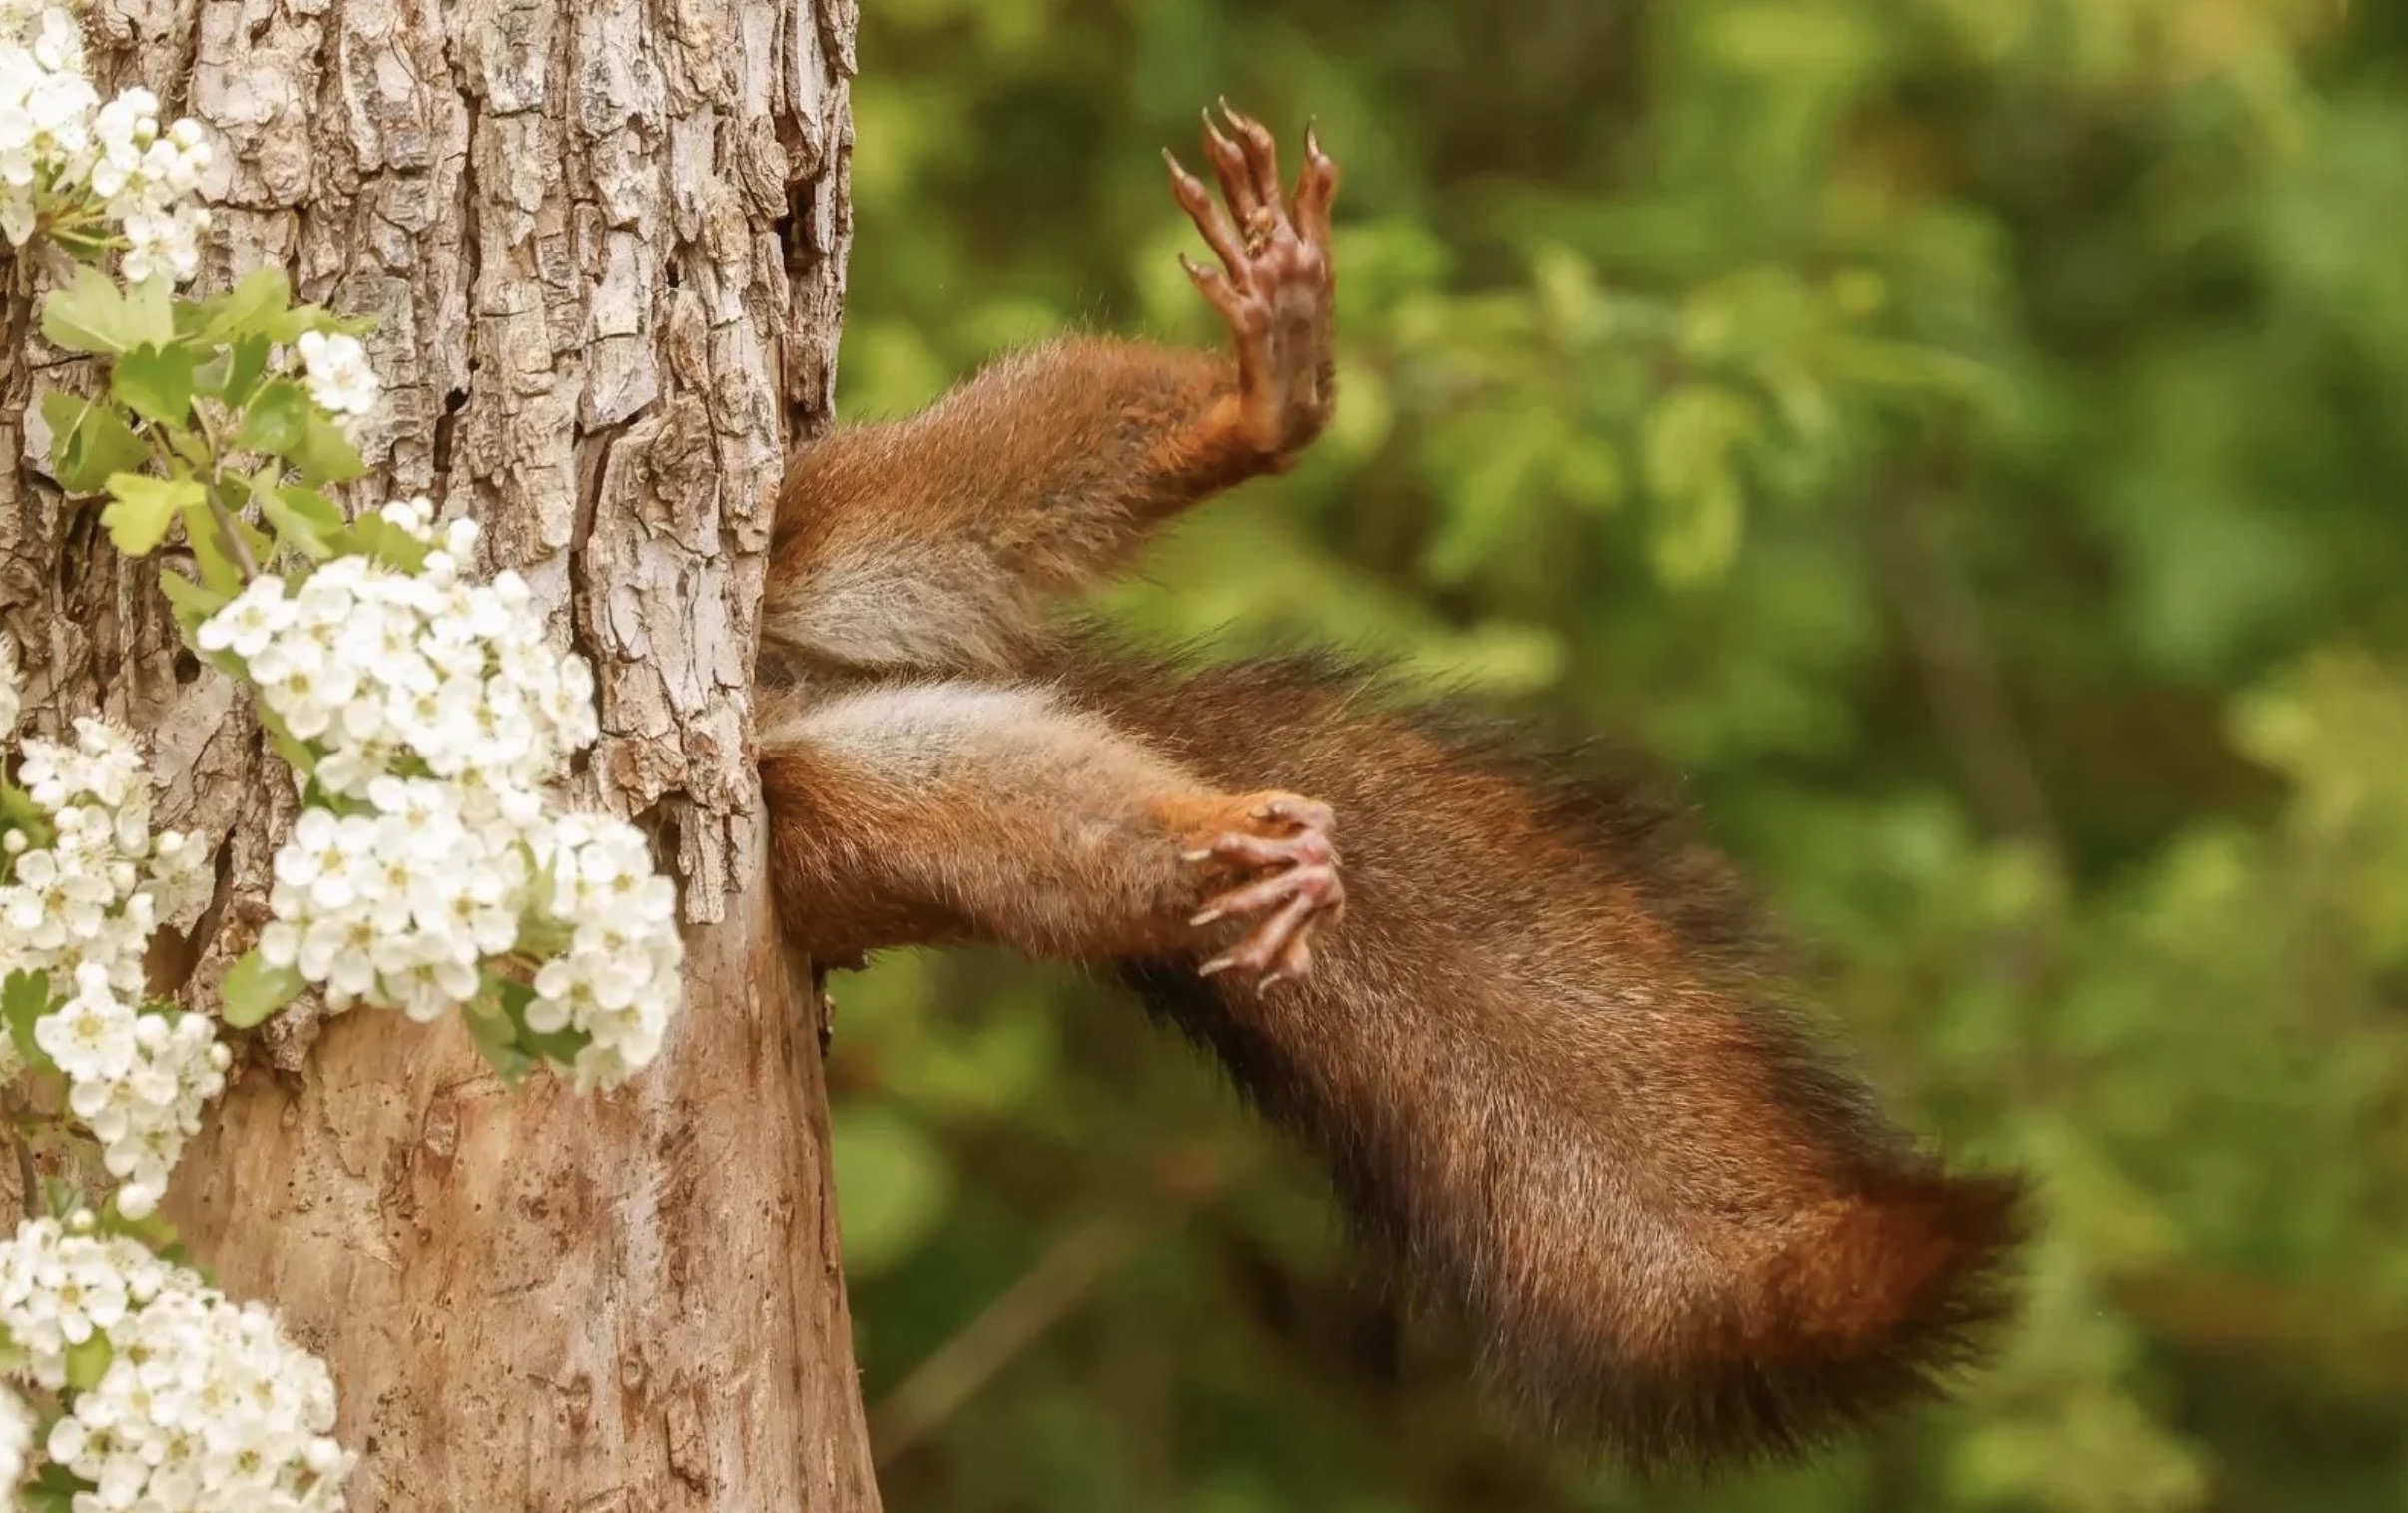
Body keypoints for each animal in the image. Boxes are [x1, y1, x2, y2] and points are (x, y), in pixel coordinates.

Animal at [746, 100, 2013, 1472]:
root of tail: (791, 687)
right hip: (836, 813)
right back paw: (1234, 848)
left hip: (826, 525)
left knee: (975, 486)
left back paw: (1267, 395)